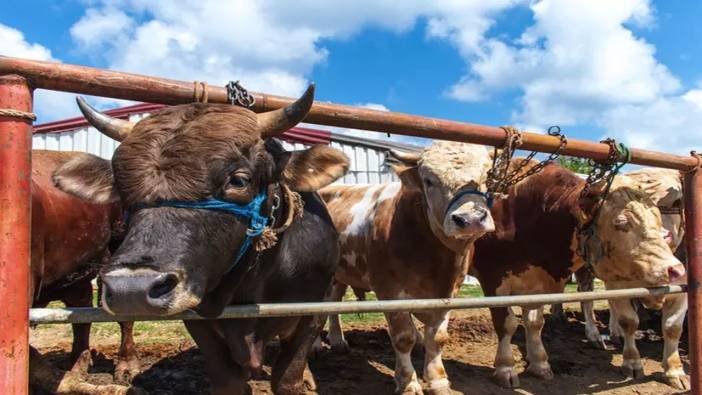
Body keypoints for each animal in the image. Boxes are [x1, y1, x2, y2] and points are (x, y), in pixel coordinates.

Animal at [320, 142, 496, 395]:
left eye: (487, 175)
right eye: (428, 180)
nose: (470, 219)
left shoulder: (450, 291)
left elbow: (438, 337)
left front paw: (438, 380)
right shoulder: (389, 290)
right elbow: (404, 337)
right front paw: (408, 382)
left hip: (342, 273)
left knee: (334, 301)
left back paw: (337, 341)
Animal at [472, 163, 688, 390]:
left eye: (657, 218)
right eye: (621, 222)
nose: (675, 270)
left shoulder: (536, 282)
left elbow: (534, 322)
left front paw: (539, 363)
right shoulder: (493, 279)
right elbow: (506, 324)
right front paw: (505, 368)